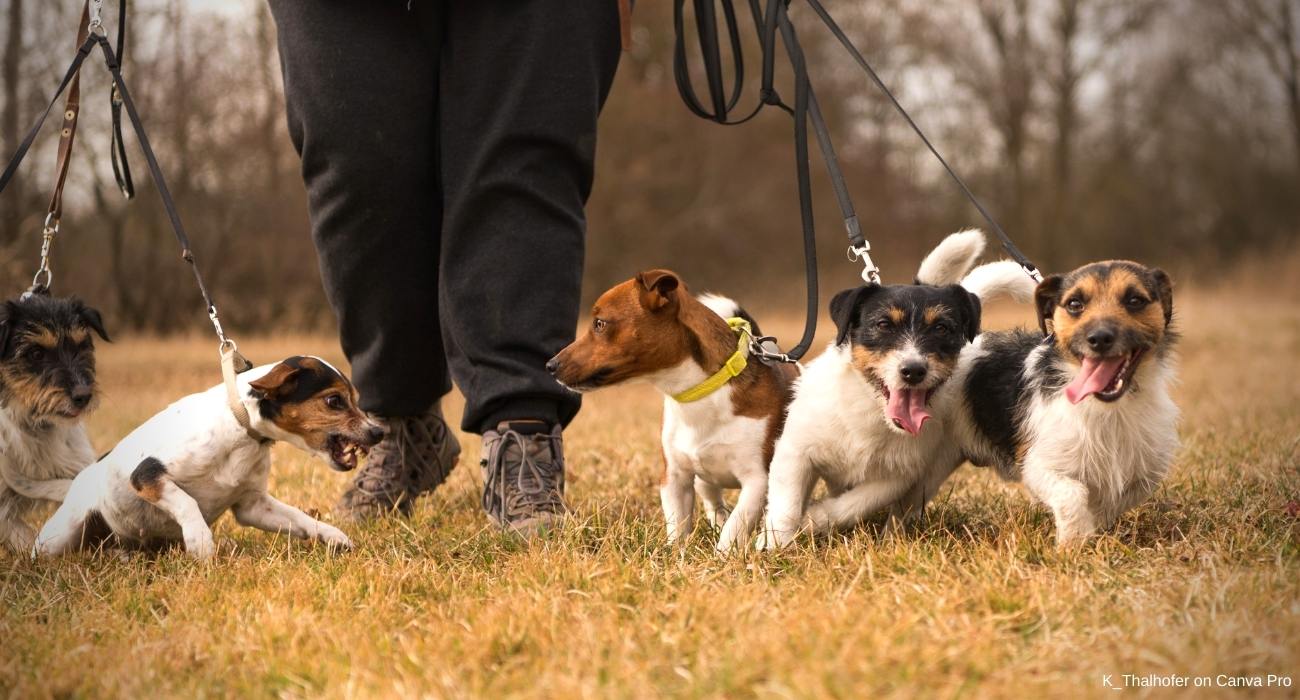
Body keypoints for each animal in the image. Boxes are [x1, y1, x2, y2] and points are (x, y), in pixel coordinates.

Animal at [32, 353, 382, 556]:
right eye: (334, 401)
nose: (378, 432)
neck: (240, 428)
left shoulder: (253, 506)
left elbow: (300, 518)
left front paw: (332, 535)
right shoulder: (145, 475)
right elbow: (187, 502)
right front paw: (200, 541)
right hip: (57, 538)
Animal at [543, 269, 795, 546]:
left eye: (599, 323)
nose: (550, 365)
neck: (701, 395)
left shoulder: (757, 481)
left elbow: (735, 527)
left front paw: (722, 553)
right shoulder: (675, 478)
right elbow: (678, 526)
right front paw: (677, 552)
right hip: (703, 478)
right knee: (713, 501)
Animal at [951, 258, 1185, 541]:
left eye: (1134, 300)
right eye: (1075, 304)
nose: (1099, 338)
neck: (1108, 408)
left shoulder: (1147, 468)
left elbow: (1116, 499)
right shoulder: (1038, 464)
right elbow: (1072, 493)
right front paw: (1073, 542)